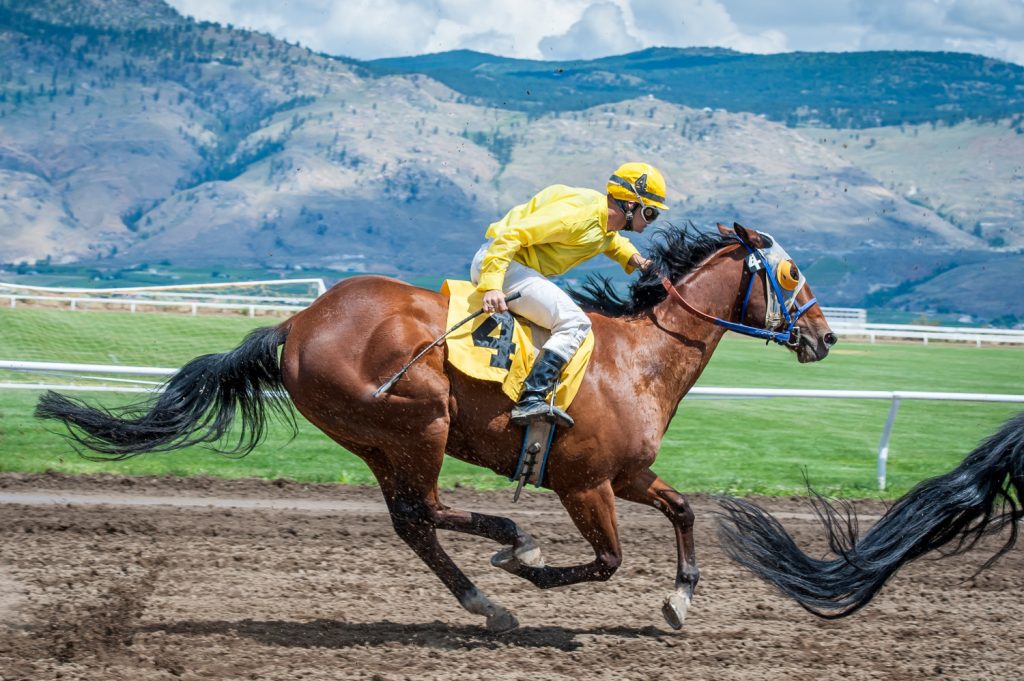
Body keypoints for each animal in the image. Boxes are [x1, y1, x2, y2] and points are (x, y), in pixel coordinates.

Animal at [36, 222, 836, 633]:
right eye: (793, 273)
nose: (824, 337)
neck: (638, 358)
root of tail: (297, 322)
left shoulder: (629, 473)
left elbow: (684, 509)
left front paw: (679, 600)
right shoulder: (584, 483)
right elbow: (607, 559)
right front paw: (533, 568)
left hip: (373, 438)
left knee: (412, 521)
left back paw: (488, 600)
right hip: (419, 417)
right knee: (428, 509)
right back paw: (511, 550)